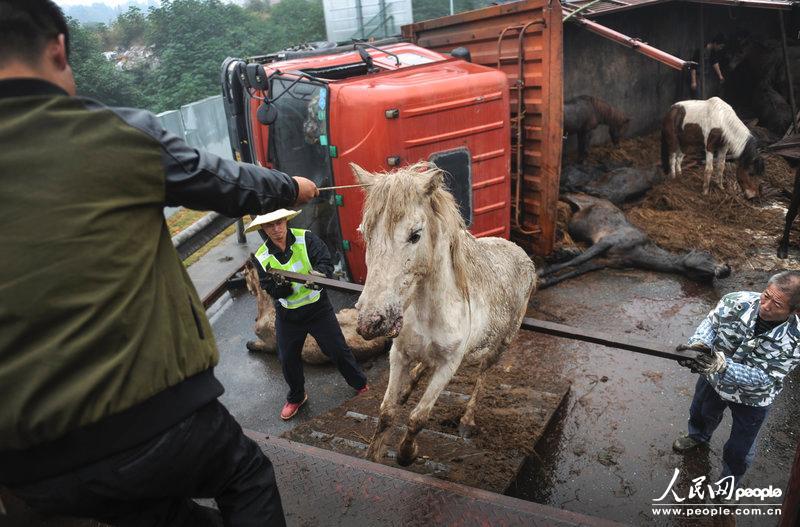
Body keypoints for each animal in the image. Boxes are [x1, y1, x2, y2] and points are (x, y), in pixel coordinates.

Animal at [241, 258, 388, 366]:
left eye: (245, 274)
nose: (249, 290)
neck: (265, 309)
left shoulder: (270, 344)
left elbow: (250, 345)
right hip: (345, 311)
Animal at [352, 161, 536, 466]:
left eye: (415, 235)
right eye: (366, 233)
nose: (371, 321)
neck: (429, 310)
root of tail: (521, 253)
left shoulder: (449, 365)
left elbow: (418, 418)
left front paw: (407, 453)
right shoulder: (398, 355)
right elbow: (387, 411)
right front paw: (373, 454)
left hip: (501, 346)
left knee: (482, 376)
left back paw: (467, 420)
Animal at [536, 194, 732, 288]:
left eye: (706, 278)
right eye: (707, 254)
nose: (726, 269)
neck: (637, 252)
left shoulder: (605, 261)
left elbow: (577, 269)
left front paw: (545, 282)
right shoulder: (606, 241)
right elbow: (577, 261)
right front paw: (540, 272)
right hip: (574, 198)